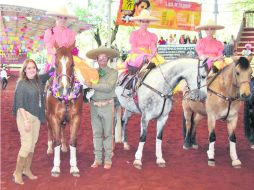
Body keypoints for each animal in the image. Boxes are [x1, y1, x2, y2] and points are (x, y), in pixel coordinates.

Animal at [44, 46, 82, 177]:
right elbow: (56, 141)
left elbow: (73, 141)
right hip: (47, 116)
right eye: (56, 64)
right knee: (50, 131)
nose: (63, 88)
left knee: (62, 129)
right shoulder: (54, 118)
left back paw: (64, 146)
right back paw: (49, 148)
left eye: (72, 64)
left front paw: (74, 166)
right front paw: (56, 167)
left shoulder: (76, 118)